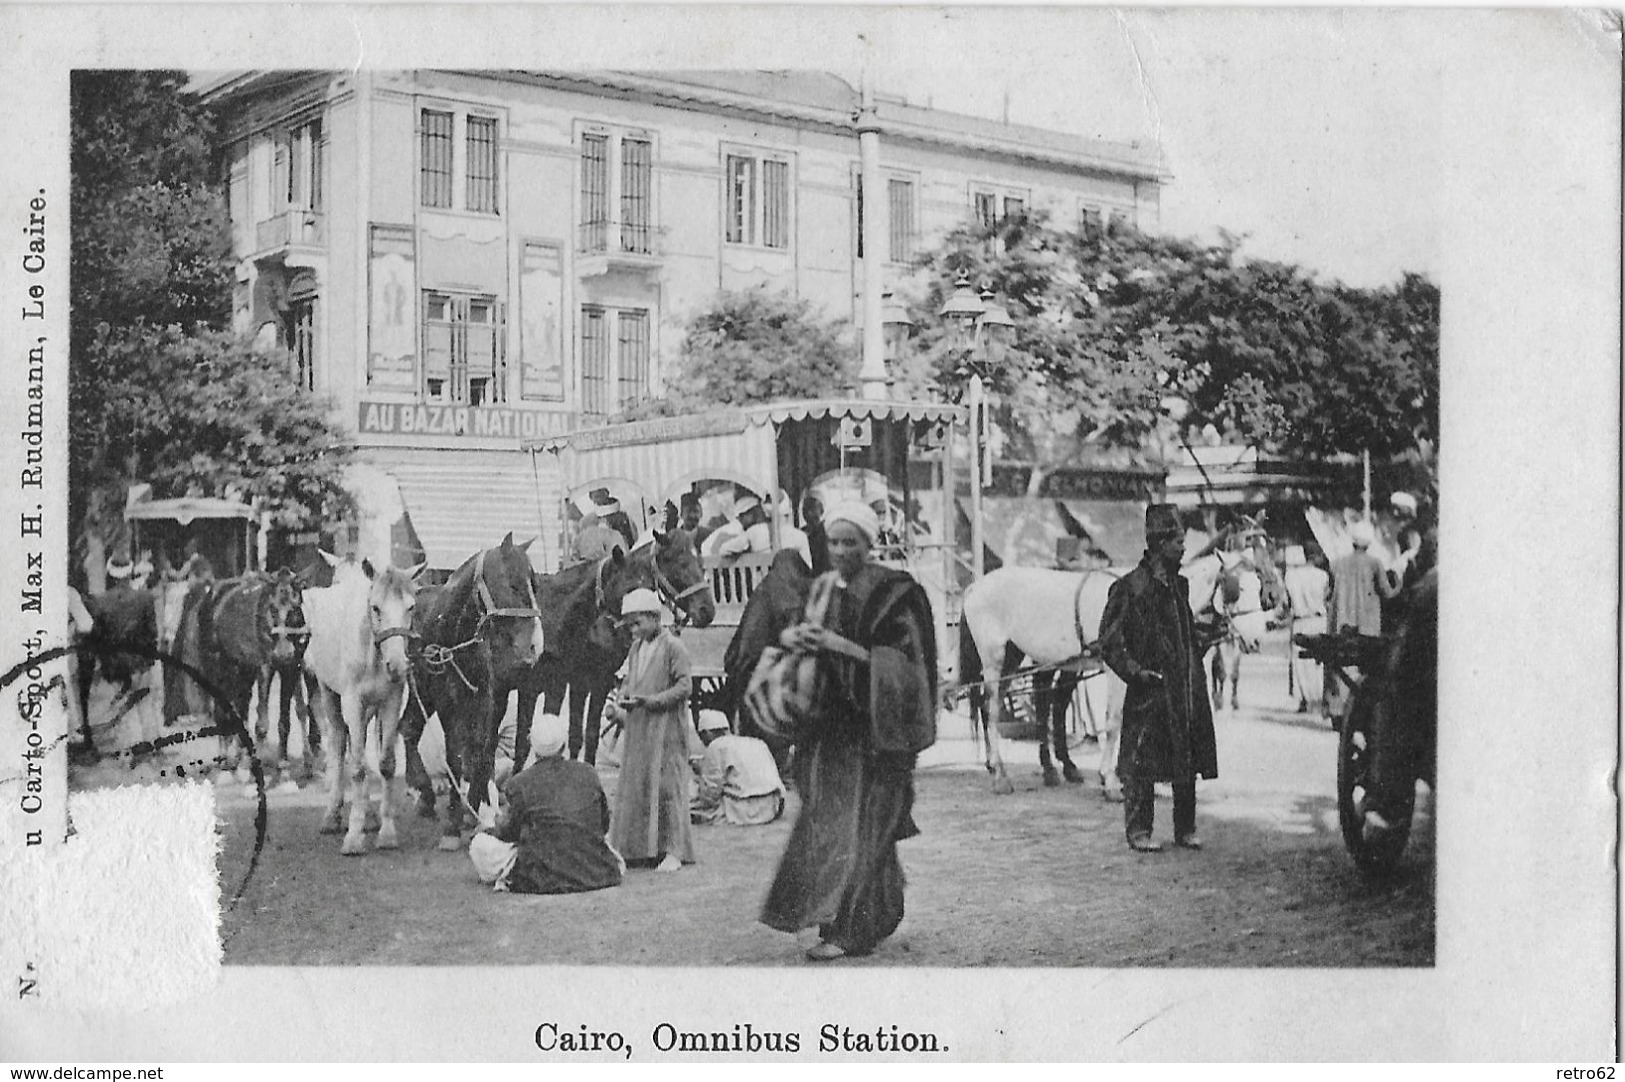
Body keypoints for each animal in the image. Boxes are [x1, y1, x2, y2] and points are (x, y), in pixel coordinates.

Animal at [303, 555, 422, 851]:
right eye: (376, 608)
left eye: (411, 607)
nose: (397, 665)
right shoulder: (352, 702)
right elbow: (356, 767)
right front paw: (354, 836)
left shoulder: (391, 701)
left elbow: (386, 764)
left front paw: (387, 833)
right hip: (329, 695)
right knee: (338, 743)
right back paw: (333, 815)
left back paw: (369, 815)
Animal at [398, 536, 546, 844]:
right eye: (512, 584)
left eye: (535, 584)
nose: (534, 645)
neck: (454, 637)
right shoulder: (447, 704)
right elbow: (455, 755)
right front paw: (454, 824)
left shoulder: (483, 700)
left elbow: (479, 749)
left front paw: (474, 809)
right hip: (423, 692)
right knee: (409, 729)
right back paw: (425, 794)